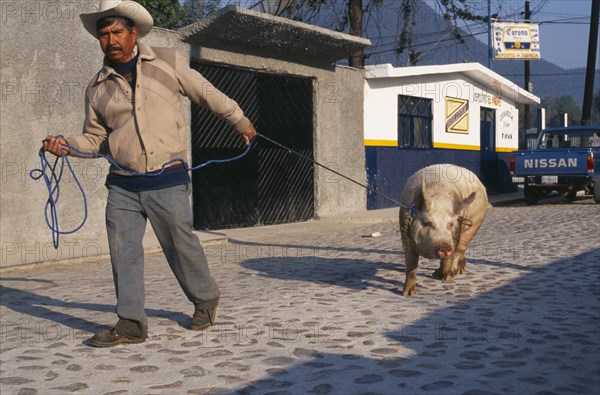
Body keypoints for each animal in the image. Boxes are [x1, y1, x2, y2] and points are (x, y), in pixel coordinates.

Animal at [396, 164, 490, 296]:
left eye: (450, 225)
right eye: (427, 223)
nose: (444, 246)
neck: (439, 197)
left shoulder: (455, 235)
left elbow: (450, 257)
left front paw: (440, 277)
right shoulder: (405, 233)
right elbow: (411, 263)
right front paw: (407, 294)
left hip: (476, 221)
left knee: (461, 248)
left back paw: (448, 275)